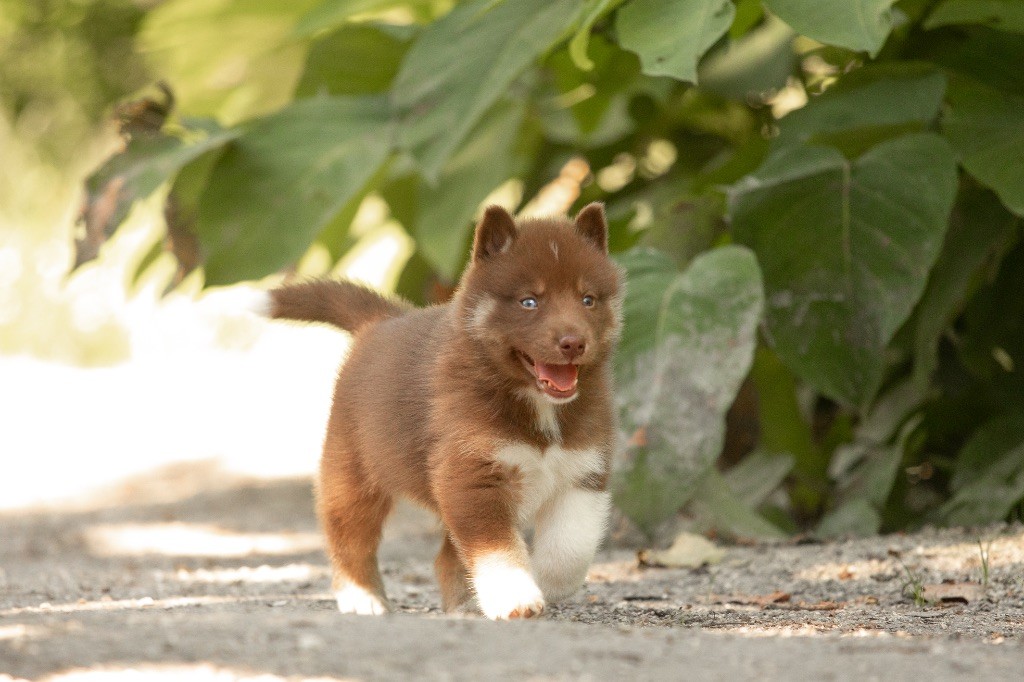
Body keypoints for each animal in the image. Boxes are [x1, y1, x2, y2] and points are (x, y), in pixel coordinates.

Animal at [265, 203, 623, 619]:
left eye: (588, 300)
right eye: (529, 302)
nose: (573, 343)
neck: (538, 407)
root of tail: (381, 320)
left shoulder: (583, 472)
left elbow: (571, 549)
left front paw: (545, 583)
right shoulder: (471, 474)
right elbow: (496, 548)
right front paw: (516, 596)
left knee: (444, 557)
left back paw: (464, 603)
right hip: (352, 468)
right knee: (350, 534)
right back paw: (361, 596)